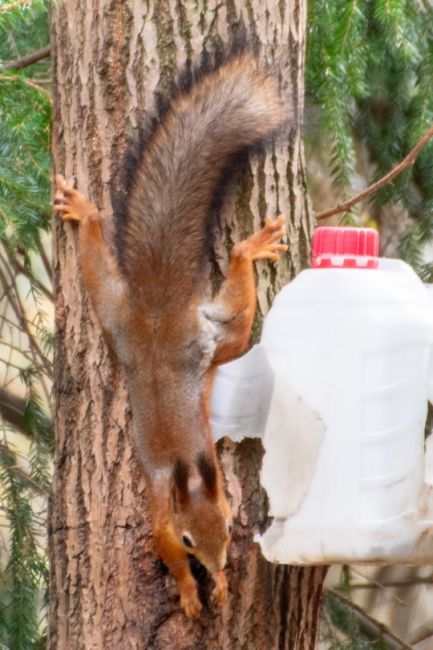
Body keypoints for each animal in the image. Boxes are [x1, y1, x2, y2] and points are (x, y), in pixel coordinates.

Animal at [54, 52, 288, 616]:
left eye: (228, 525)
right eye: (187, 538)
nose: (219, 562)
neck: (190, 473)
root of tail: (157, 312)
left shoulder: (219, 489)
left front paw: (219, 583)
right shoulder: (162, 518)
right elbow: (166, 556)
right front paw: (190, 589)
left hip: (155, 324)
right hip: (137, 322)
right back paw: (86, 212)